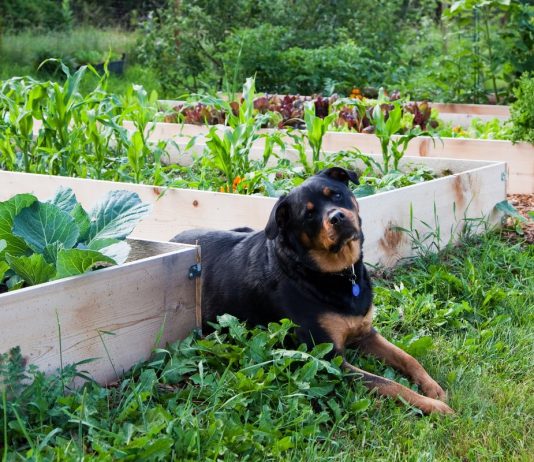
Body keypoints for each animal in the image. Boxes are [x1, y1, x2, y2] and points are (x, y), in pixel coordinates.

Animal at [174, 167, 454, 416]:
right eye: (308, 215)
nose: (337, 217)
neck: (336, 273)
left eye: (336, 195)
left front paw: (434, 388)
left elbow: (408, 358)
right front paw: (433, 406)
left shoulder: (366, 333)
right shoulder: (330, 359)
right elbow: (390, 384)